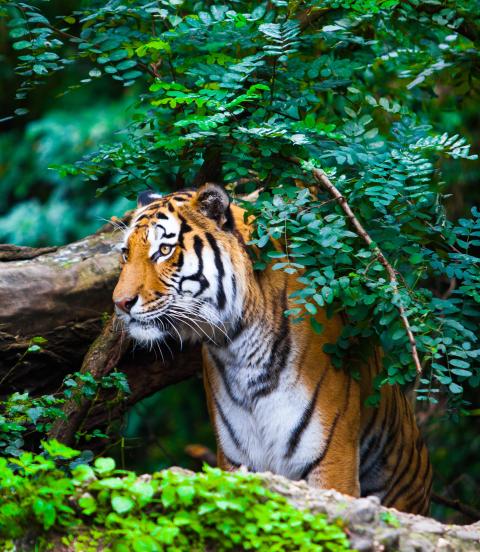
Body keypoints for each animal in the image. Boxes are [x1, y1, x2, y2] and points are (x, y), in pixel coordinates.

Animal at [112, 183, 432, 516]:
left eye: (164, 250)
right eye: (126, 253)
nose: (119, 303)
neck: (237, 347)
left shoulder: (332, 460)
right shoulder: (237, 459)